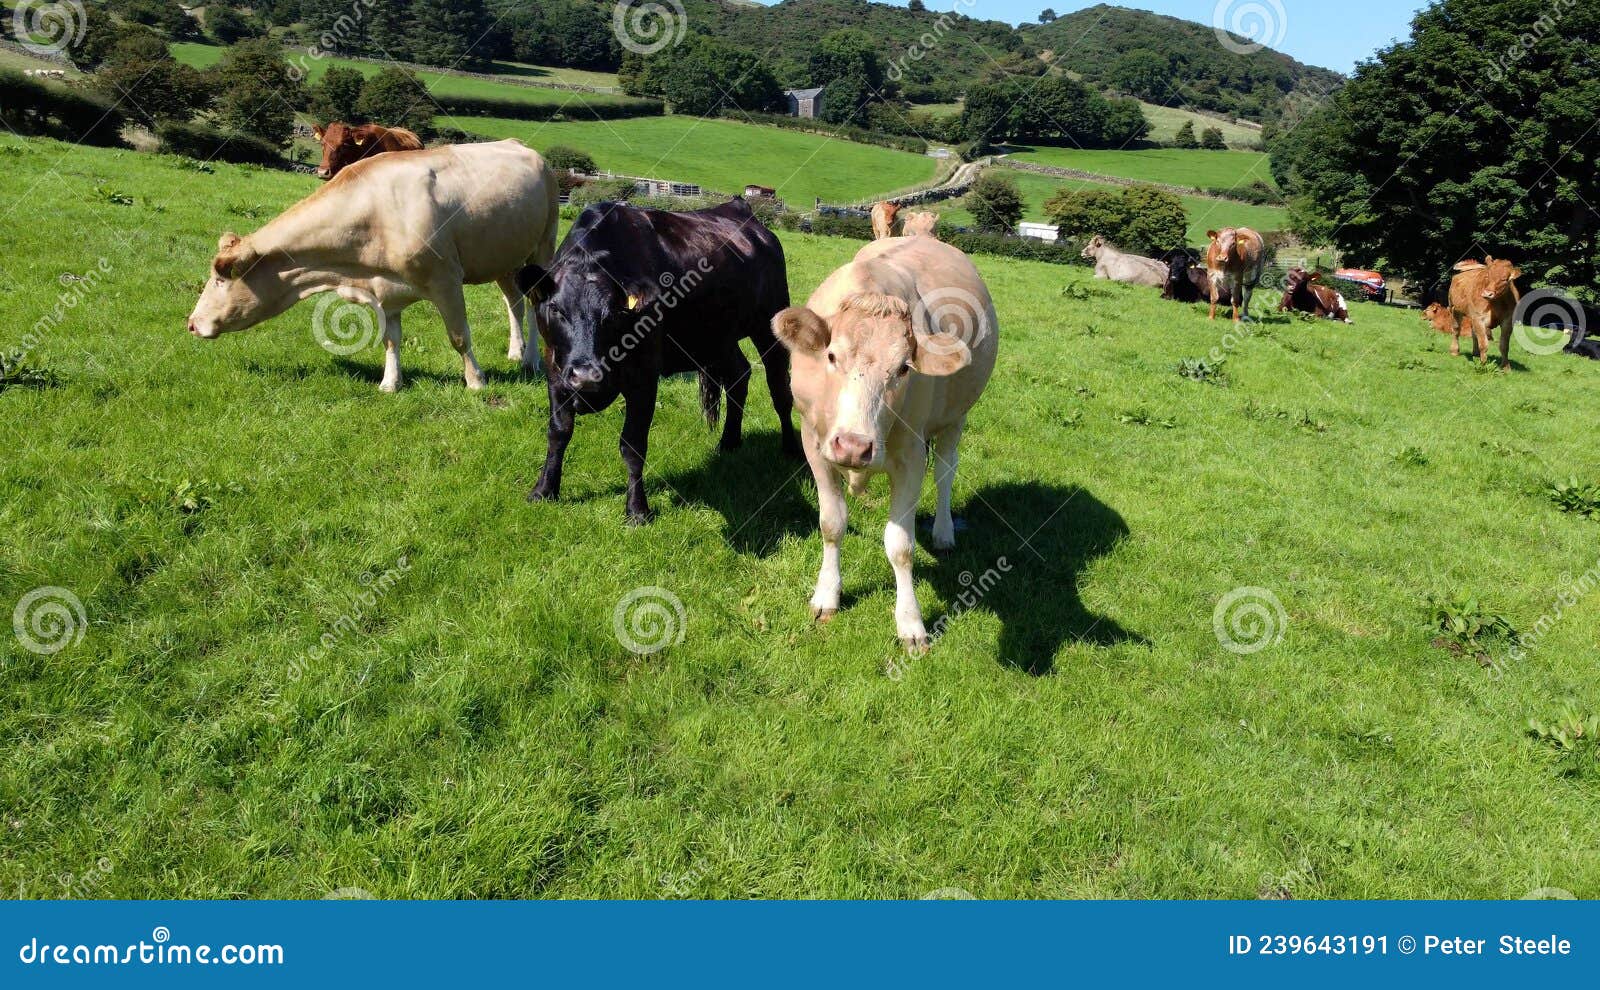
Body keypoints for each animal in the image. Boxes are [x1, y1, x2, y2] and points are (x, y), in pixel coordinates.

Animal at [186, 138, 560, 391]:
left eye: (220, 280)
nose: (191, 323)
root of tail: (523, 147)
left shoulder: (446, 280)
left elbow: (458, 337)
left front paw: (476, 381)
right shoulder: (384, 290)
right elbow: (391, 339)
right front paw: (390, 383)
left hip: (543, 245)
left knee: (533, 304)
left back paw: (532, 360)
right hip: (504, 257)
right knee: (513, 302)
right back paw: (516, 352)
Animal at [515, 195, 796, 527]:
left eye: (615, 314)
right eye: (556, 309)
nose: (586, 376)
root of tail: (743, 211)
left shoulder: (644, 375)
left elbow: (633, 444)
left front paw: (637, 510)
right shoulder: (555, 370)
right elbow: (558, 432)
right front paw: (544, 489)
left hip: (769, 323)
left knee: (780, 390)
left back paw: (791, 448)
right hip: (715, 337)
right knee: (738, 376)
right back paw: (729, 441)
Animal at [774, 236, 998, 655]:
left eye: (903, 368)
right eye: (831, 356)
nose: (853, 446)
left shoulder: (911, 457)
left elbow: (901, 545)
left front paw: (910, 622)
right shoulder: (813, 443)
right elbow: (831, 524)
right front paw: (826, 594)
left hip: (956, 416)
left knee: (946, 471)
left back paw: (944, 531)